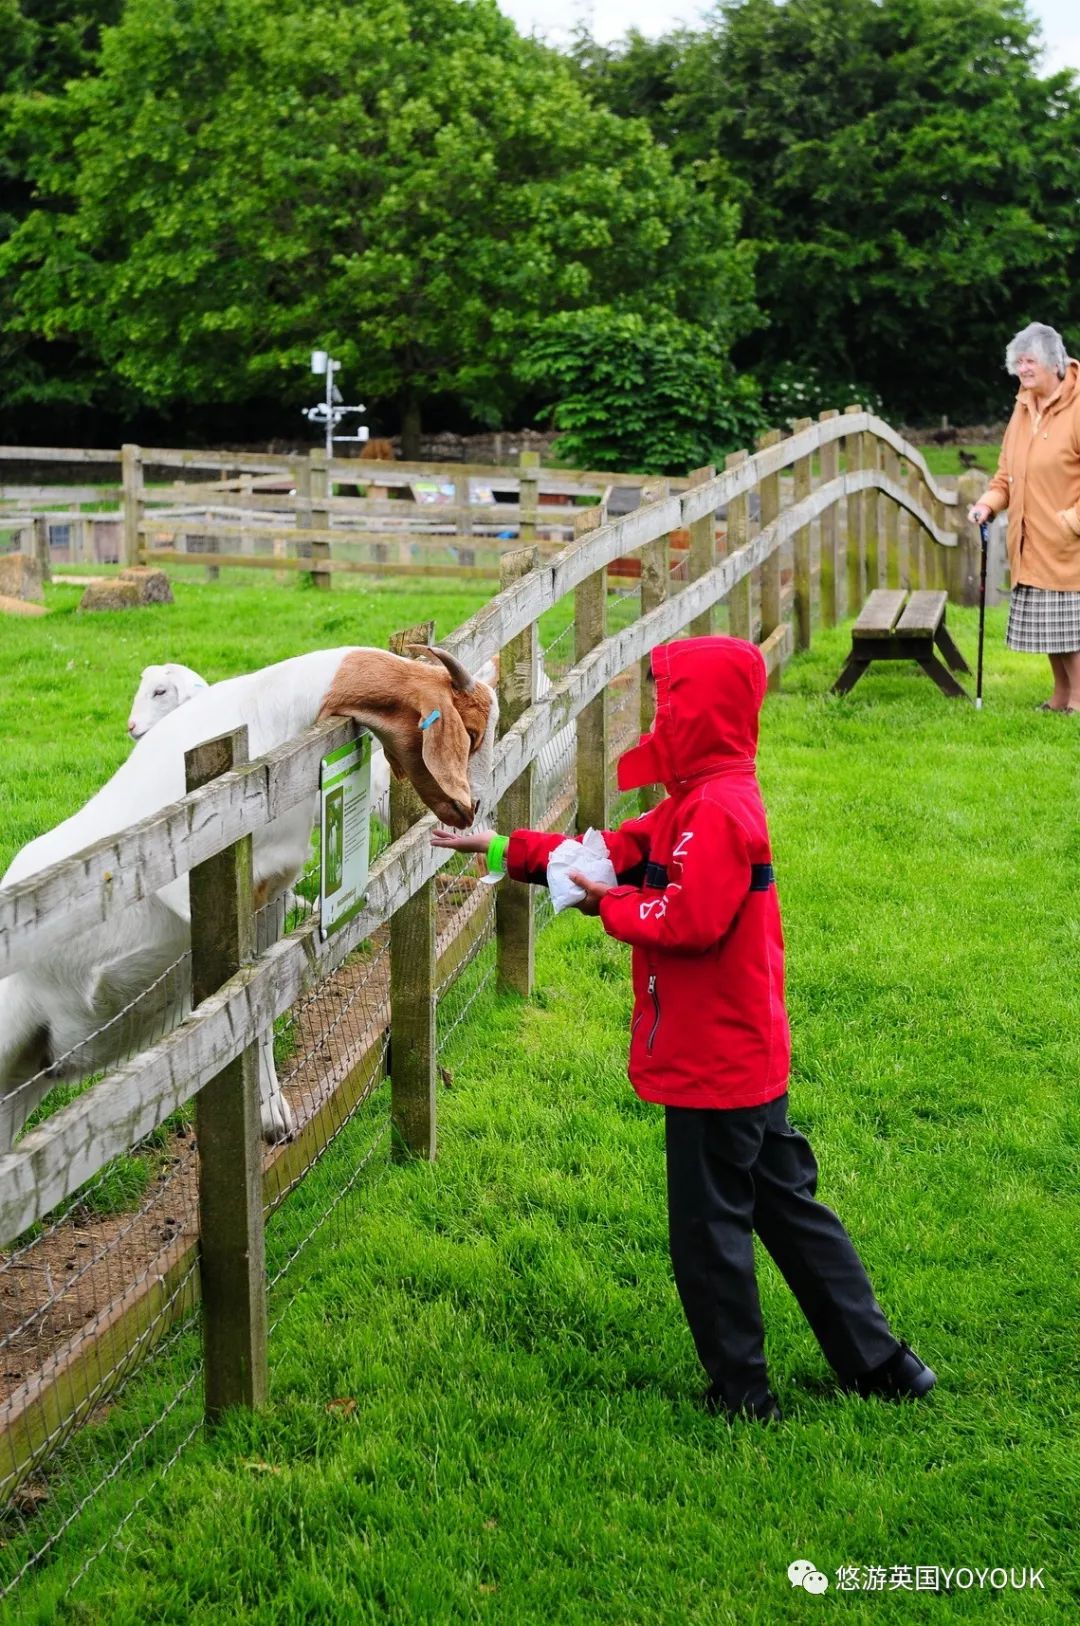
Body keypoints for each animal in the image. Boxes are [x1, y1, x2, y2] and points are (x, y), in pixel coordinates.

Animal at [0, 640, 497, 1151]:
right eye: (472, 732)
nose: (473, 807)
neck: (267, 714)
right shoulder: (194, 888)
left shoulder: (272, 892)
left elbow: (262, 1008)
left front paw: (273, 1116)